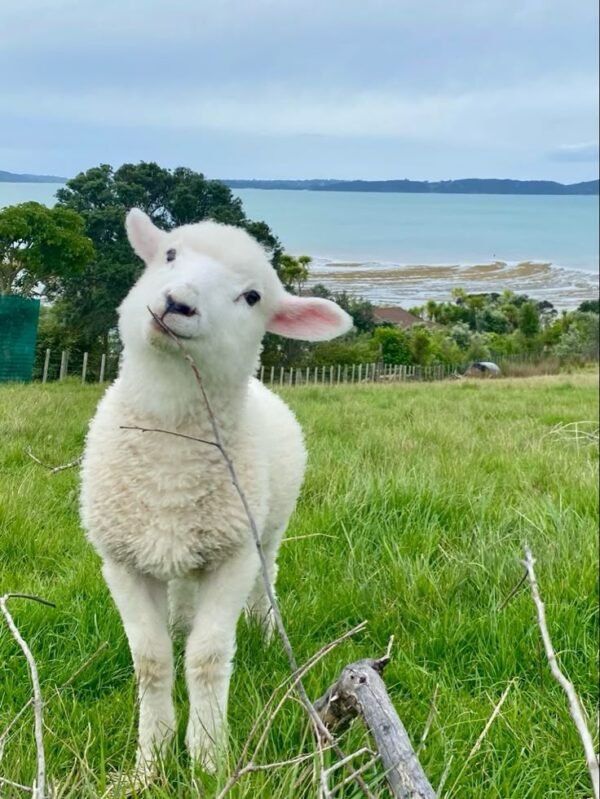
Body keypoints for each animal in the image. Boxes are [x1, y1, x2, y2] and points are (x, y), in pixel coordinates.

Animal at [80, 209, 352, 778]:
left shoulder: (232, 556)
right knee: (181, 599)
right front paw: (151, 761)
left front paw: (208, 757)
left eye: (251, 296)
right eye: (169, 255)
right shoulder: (122, 561)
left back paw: (267, 634)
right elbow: (152, 660)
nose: (178, 301)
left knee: (267, 582)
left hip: (266, 530)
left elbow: (207, 659)